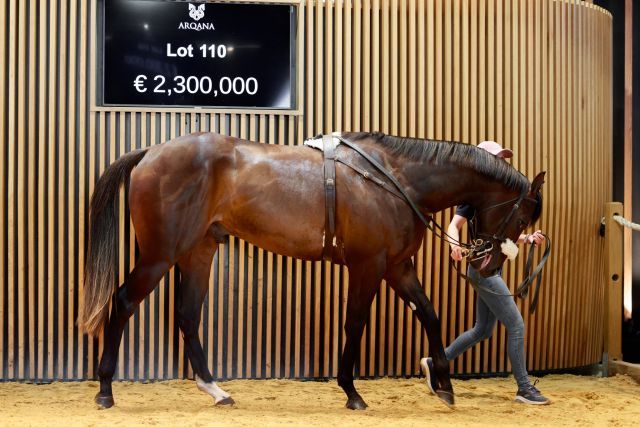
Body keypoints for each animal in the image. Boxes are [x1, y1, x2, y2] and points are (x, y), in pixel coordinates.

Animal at [77, 131, 544, 412]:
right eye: (524, 215)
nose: (489, 263)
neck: (397, 179)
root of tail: (151, 153)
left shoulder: (397, 266)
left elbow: (429, 313)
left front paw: (444, 384)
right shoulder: (368, 265)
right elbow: (355, 323)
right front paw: (352, 391)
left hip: (198, 251)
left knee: (188, 315)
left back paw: (215, 389)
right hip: (161, 253)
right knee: (123, 302)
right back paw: (105, 390)